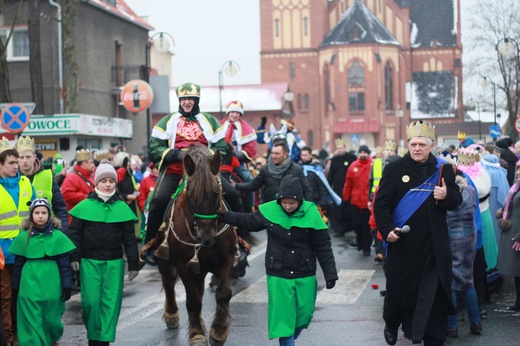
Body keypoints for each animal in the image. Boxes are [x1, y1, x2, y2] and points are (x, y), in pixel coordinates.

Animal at [153, 145, 237, 346]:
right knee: (169, 282)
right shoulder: (182, 263)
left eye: (215, 193)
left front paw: (218, 331)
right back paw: (171, 315)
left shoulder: (227, 258)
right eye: (191, 195)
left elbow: (224, 293)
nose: (206, 238)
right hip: (164, 259)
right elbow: (192, 300)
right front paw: (197, 334)